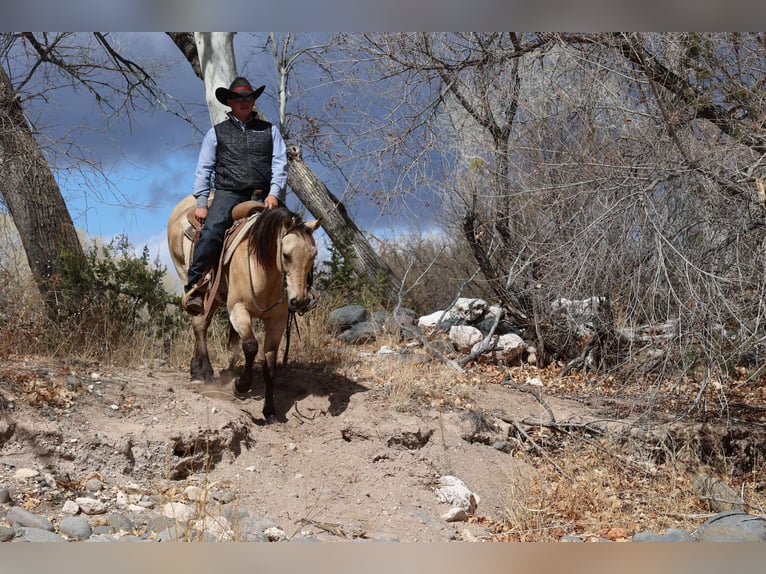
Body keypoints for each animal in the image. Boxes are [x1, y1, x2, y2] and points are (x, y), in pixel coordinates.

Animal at [166, 194, 320, 421]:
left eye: (313, 255)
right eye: (285, 254)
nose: (299, 301)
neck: (263, 267)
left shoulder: (277, 320)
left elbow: (270, 362)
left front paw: (270, 410)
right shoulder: (238, 309)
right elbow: (250, 346)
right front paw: (240, 386)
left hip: (215, 295)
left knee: (202, 323)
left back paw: (197, 370)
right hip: (190, 279)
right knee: (198, 323)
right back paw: (203, 373)